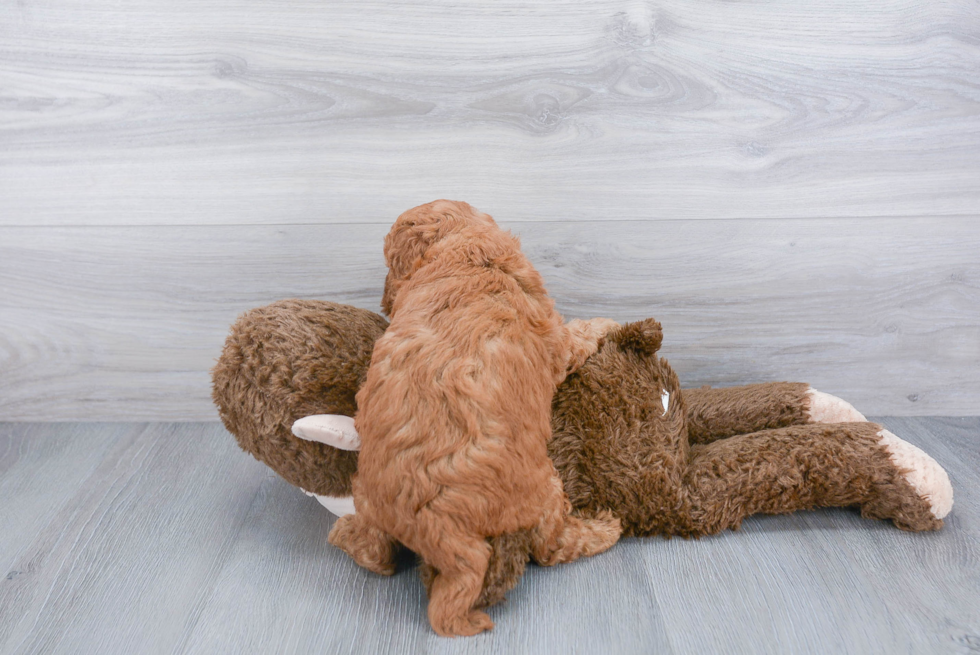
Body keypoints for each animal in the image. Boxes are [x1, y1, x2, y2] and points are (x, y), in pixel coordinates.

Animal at [330, 200, 620, 636]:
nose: (384, 301)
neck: (464, 255)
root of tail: (435, 524)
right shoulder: (556, 340)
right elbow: (579, 334)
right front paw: (608, 323)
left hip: (366, 496)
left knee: (373, 553)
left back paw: (346, 534)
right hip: (544, 488)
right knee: (551, 546)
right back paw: (605, 528)